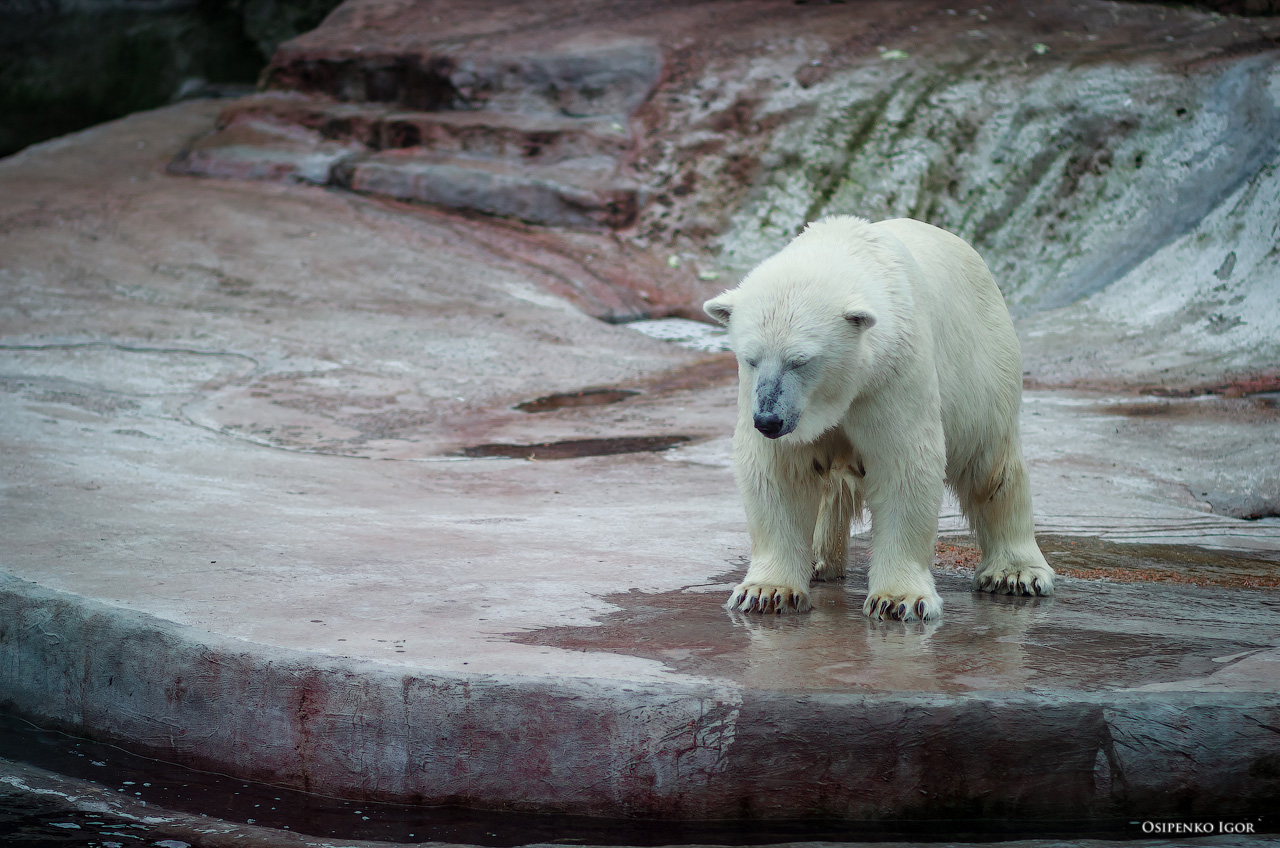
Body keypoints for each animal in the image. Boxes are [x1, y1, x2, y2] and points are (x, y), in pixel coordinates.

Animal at [706, 216, 1054, 622]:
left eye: (800, 360)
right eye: (750, 358)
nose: (768, 420)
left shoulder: (893, 374)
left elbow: (905, 465)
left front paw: (899, 600)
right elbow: (778, 472)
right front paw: (767, 591)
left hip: (985, 362)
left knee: (990, 462)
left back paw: (1015, 574)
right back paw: (819, 561)